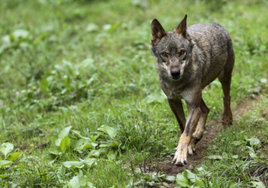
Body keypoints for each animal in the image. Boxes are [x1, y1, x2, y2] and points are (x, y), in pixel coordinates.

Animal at [151, 15, 234, 167]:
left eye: (182, 52)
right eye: (165, 54)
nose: (175, 73)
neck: (177, 84)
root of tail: (215, 24)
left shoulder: (192, 105)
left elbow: (186, 131)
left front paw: (180, 155)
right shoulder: (173, 101)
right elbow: (183, 126)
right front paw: (190, 146)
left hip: (223, 78)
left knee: (226, 97)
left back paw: (226, 119)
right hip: (198, 94)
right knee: (205, 109)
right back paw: (198, 135)